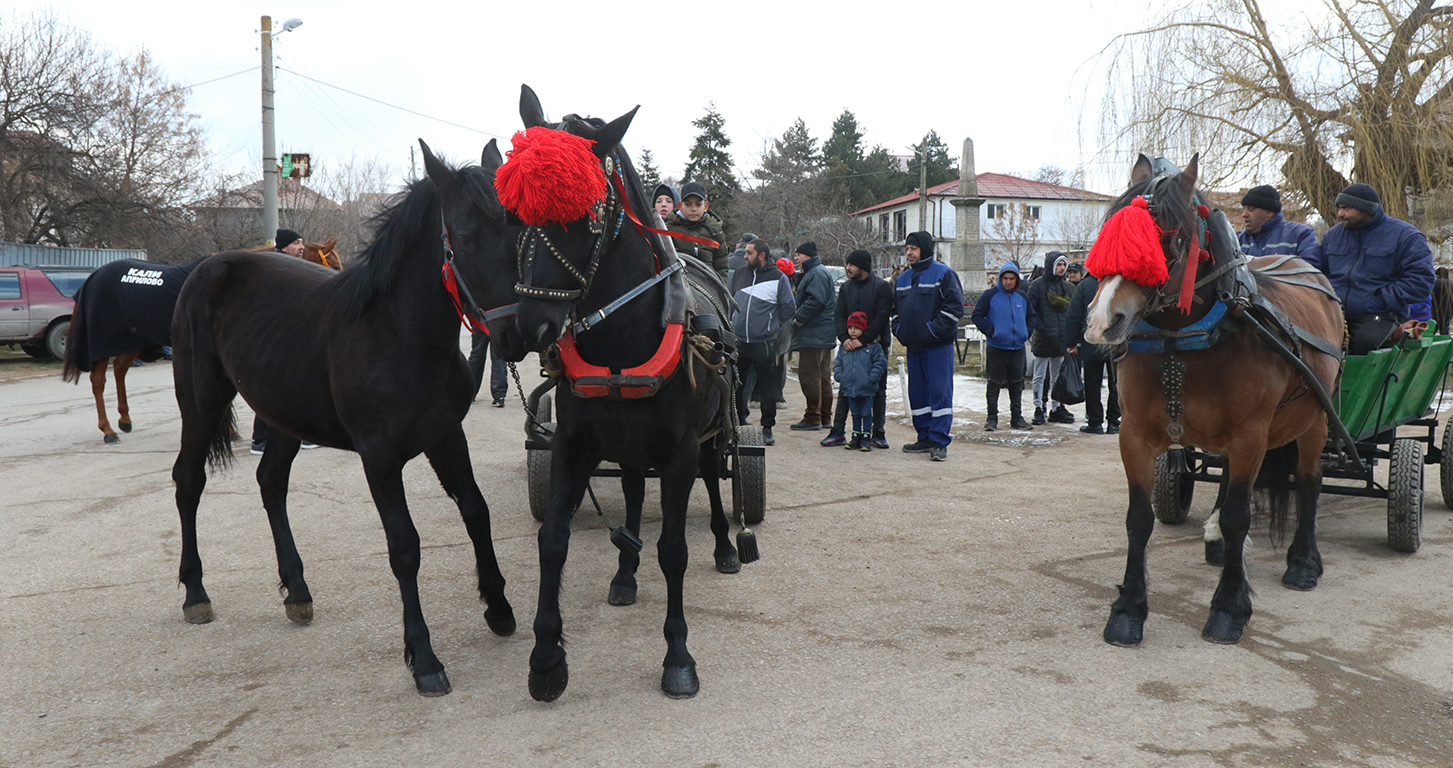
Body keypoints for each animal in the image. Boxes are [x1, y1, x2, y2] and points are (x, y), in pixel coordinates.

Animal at [167, 137, 520, 693]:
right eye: (464, 236)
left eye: (521, 228)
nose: (517, 333)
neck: (401, 334)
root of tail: (207, 267)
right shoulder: (380, 459)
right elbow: (404, 546)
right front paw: (423, 658)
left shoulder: (446, 437)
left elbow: (476, 512)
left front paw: (499, 609)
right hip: (201, 403)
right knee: (189, 481)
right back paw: (196, 595)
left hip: (284, 415)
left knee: (271, 482)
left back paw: (297, 591)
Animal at [499, 85, 743, 699]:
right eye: (513, 212)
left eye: (582, 211)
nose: (529, 327)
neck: (621, 341)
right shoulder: (572, 445)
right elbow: (553, 540)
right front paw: (546, 658)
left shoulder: (679, 453)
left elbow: (674, 550)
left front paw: (678, 656)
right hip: (630, 445)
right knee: (632, 493)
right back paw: (626, 571)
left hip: (709, 436)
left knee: (714, 477)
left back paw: (728, 546)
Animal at [1086, 155, 1342, 647]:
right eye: (1108, 233)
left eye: (1170, 239)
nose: (1102, 321)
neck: (1186, 341)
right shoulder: (1135, 435)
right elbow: (1139, 519)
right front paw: (1129, 609)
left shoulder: (1250, 436)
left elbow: (1240, 516)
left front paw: (1228, 607)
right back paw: (1222, 545)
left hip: (1315, 418)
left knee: (1308, 481)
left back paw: (1303, 560)